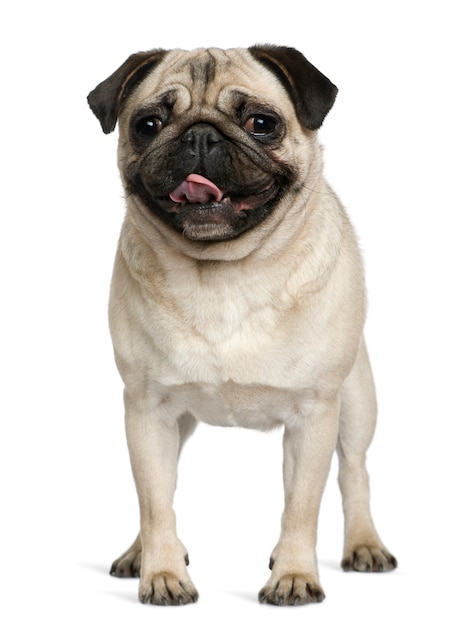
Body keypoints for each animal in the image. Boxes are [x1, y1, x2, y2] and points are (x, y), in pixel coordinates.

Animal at [88, 44, 398, 604]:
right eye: (148, 125)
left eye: (261, 123)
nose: (200, 135)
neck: (225, 272)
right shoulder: (146, 410)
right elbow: (155, 502)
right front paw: (162, 573)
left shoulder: (314, 415)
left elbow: (302, 506)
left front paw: (294, 575)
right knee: (159, 492)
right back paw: (141, 554)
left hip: (356, 401)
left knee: (354, 471)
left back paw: (364, 544)